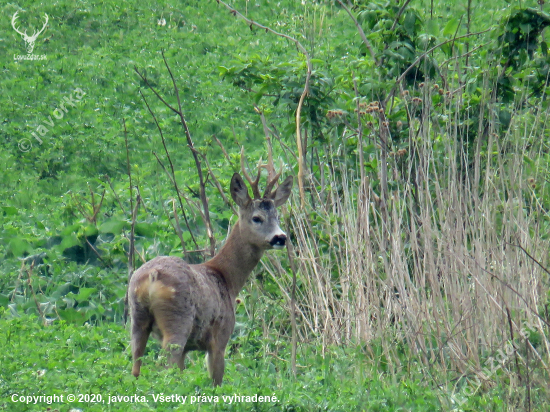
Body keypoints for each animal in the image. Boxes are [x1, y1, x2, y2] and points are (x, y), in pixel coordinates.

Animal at [130, 153, 294, 384]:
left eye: (277, 217)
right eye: (257, 218)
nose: (280, 237)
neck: (226, 278)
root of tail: (153, 276)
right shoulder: (220, 336)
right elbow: (216, 381)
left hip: (137, 319)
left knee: (136, 366)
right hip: (177, 321)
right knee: (167, 365)